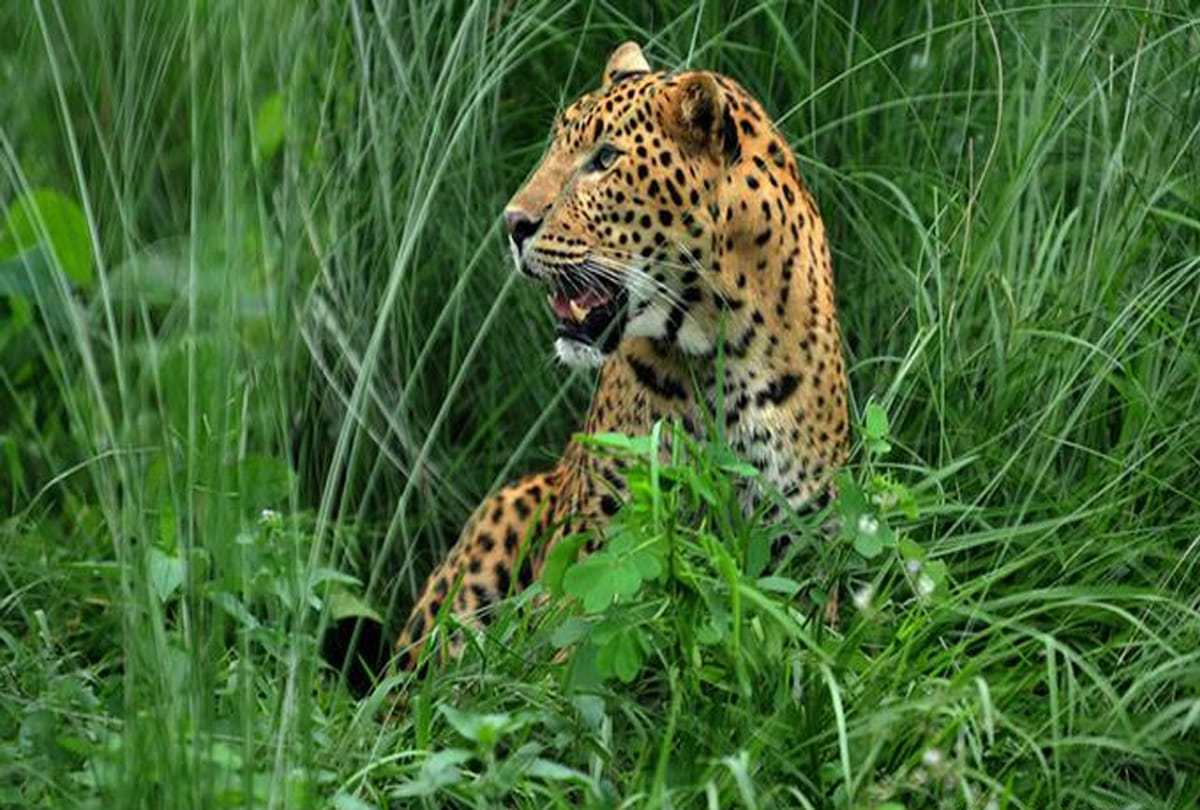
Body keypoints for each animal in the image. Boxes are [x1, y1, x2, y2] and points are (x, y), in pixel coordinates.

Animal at [395, 42, 848, 670]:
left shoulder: (802, 547)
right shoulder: (599, 540)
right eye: (556, 144)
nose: (512, 223)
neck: (720, 352)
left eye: (605, 158)